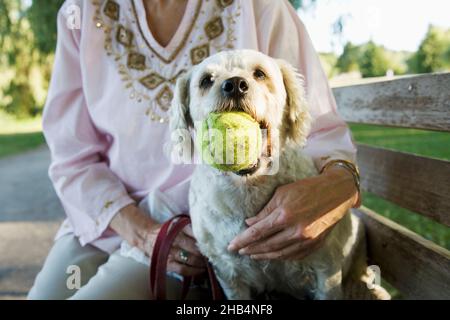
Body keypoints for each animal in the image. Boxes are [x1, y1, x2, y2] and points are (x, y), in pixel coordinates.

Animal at [169, 48, 372, 298]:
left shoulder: (326, 269)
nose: (234, 84)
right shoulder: (227, 274)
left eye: (259, 73)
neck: (248, 190)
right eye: (206, 80)